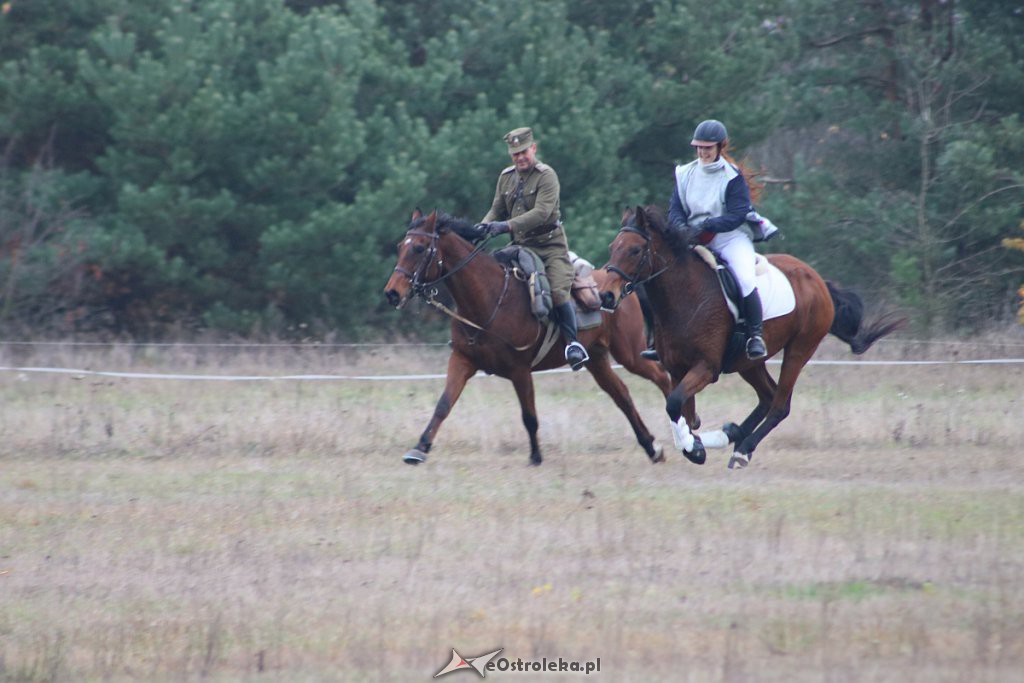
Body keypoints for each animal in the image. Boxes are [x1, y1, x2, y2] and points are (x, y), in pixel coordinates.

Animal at [380, 208, 675, 466]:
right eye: (401, 246)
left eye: (419, 248)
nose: (392, 293)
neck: (489, 297)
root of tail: (624, 287)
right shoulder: (462, 361)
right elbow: (443, 404)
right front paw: (419, 449)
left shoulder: (520, 370)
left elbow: (529, 416)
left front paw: (535, 456)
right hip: (597, 359)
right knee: (622, 395)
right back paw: (652, 448)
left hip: (630, 354)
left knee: (661, 377)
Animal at [598, 205, 905, 466]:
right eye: (614, 248)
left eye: (635, 250)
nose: (606, 295)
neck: (685, 297)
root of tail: (818, 280)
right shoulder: (677, 369)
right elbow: (683, 410)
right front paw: (693, 445)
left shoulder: (706, 367)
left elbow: (675, 404)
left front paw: (694, 448)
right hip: (749, 362)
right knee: (767, 397)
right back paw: (730, 435)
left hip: (799, 349)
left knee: (780, 405)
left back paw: (742, 449)